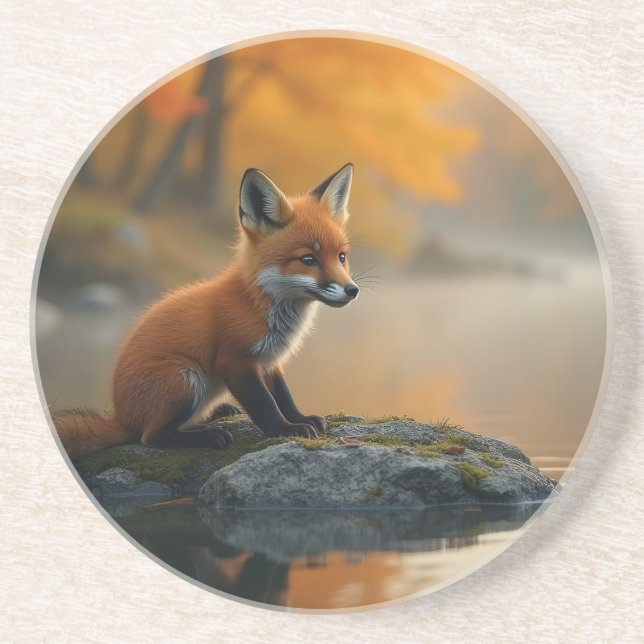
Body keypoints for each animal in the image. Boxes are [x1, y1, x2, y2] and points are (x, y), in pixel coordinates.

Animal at [53, 163, 359, 458]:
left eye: (341, 257)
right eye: (308, 259)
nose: (352, 290)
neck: (257, 303)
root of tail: (121, 417)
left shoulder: (270, 361)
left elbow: (284, 396)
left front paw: (300, 418)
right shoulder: (234, 361)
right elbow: (265, 404)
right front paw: (284, 429)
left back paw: (218, 413)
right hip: (186, 379)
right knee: (150, 437)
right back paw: (207, 436)